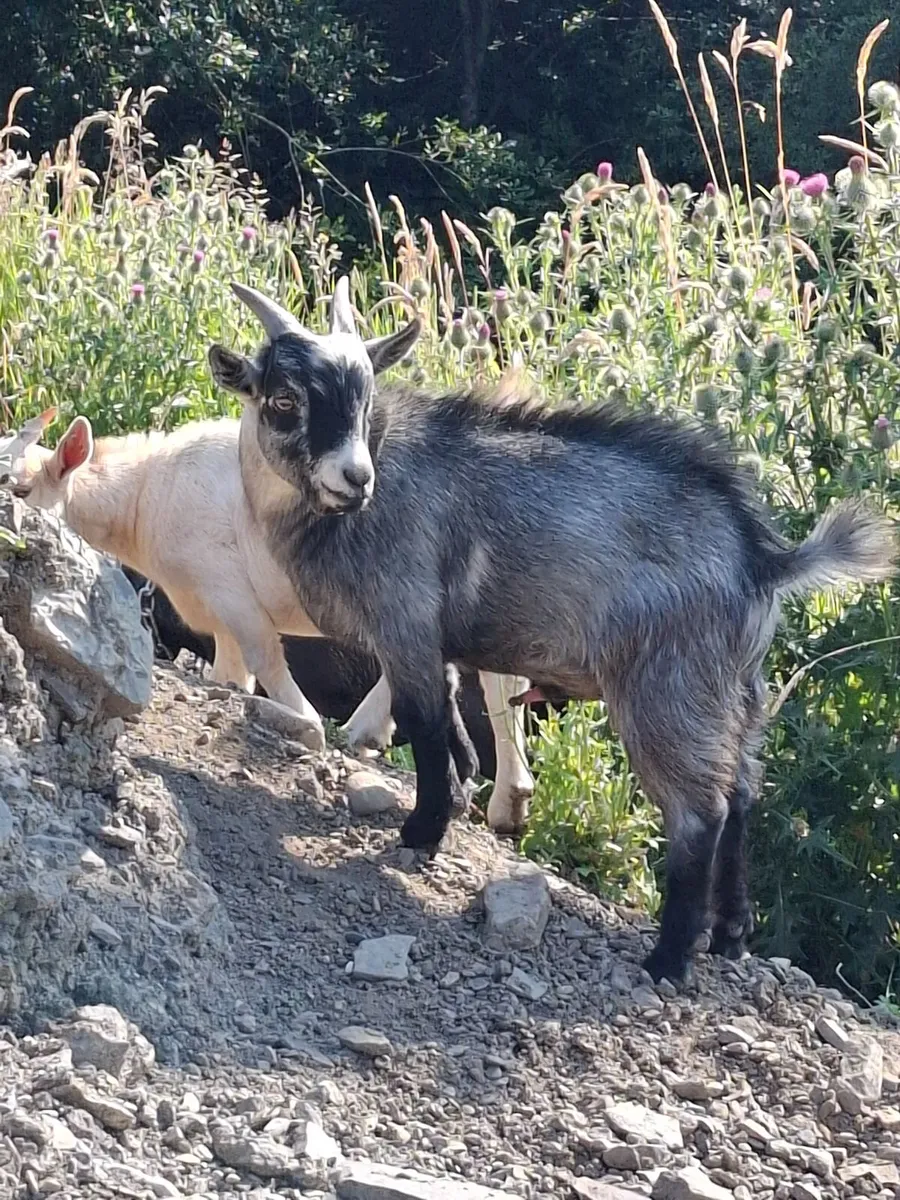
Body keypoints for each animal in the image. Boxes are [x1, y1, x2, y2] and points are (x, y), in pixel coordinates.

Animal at [3, 412, 534, 826]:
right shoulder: (218, 614)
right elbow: (232, 675)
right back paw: (502, 795)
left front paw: (304, 722)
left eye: (22, 488)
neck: (144, 496)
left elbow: (268, 662)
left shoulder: (231, 591)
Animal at [209, 276, 897, 985]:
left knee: (700, 813)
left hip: (669, 689)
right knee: (742, 792)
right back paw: (730, 934)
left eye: (365, 395)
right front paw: (454, 799)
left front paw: (421, 832)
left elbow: (424, 725)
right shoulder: (436, 639)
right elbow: (450, 722)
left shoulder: (403, 620)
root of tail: (760, 560)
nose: (355, 478)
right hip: (741, 690)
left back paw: (668, 959)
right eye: (284, 399)